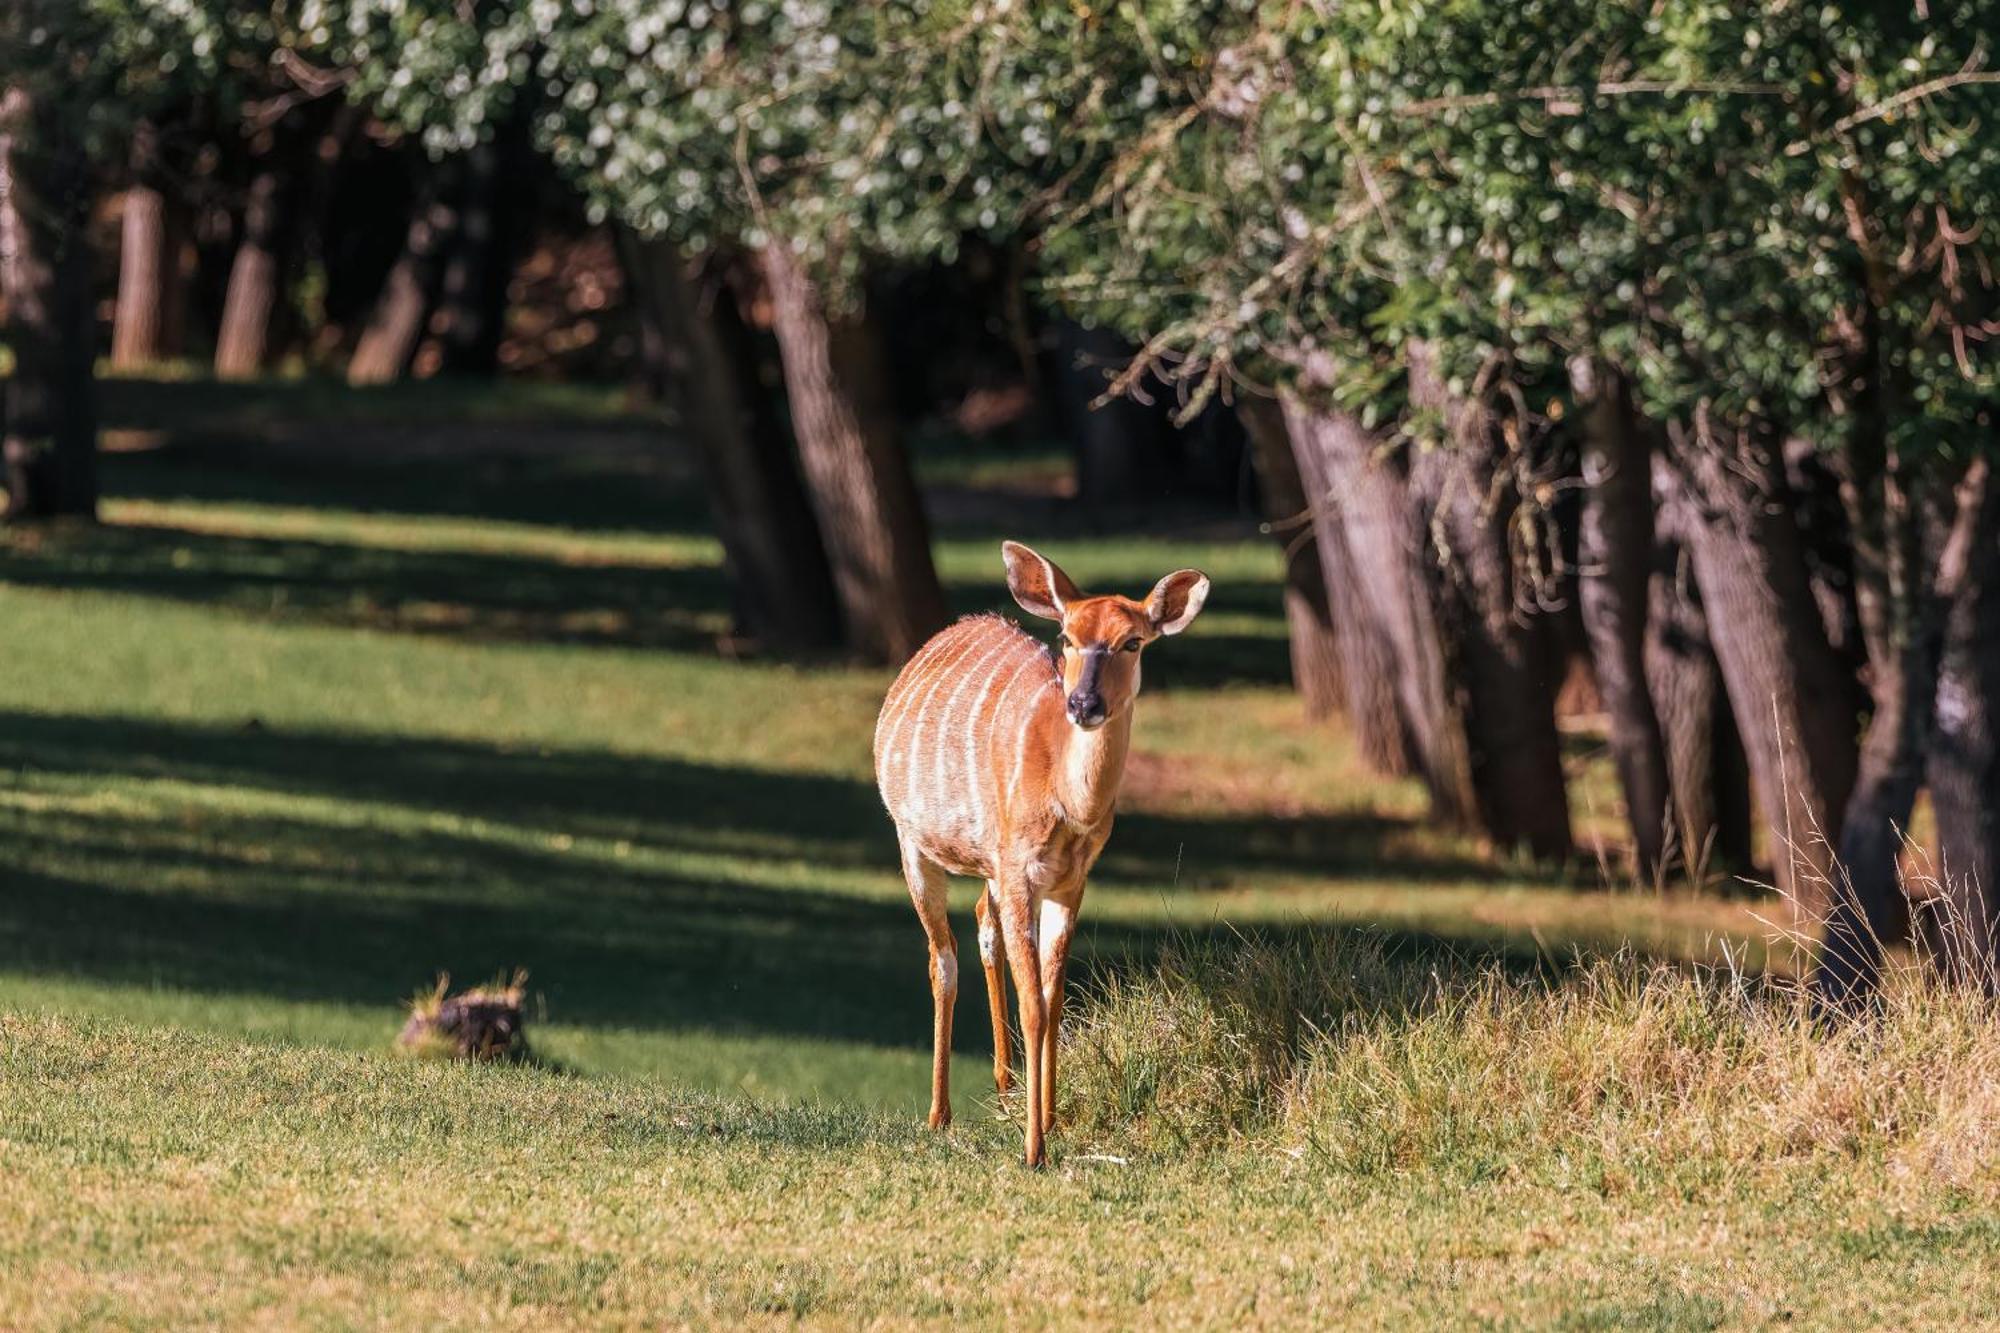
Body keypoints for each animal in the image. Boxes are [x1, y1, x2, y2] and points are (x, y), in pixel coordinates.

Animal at [872, 540, 1208, 1160]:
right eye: (1068, 638)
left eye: (1133, 641)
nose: (1083, 703)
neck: (1067, 806)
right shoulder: (1019, 867)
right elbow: (1034, 1005)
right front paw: (1034, 1151)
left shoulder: (1069, 879)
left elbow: (1053, 1000)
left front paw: (1051, 1119)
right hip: (914, 843)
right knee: (941, 957)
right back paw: (939, 1114)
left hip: (987, 864)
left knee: (982, 924)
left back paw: (1005, 1083)